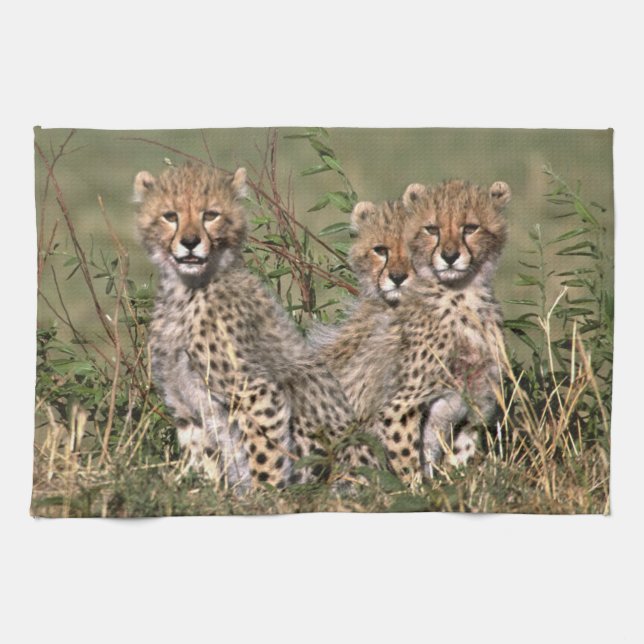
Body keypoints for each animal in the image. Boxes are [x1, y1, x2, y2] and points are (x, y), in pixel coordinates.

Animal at [134, 162, 362, 492]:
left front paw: (264, 494)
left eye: (210, 215)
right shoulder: (185, 406)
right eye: (170, 216)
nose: (190, 242)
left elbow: (265, 454)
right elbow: (201, 457)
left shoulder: (258, 391)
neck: (187, 289)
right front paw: (203, 490)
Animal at [371, 179, 511, 481]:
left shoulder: (478, 400)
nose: (449, 256)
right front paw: (416, 487)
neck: (462, 295)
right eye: (432, 229)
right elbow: (406, 460)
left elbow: (462, 453)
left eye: (470, 228)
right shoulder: (398, 407)